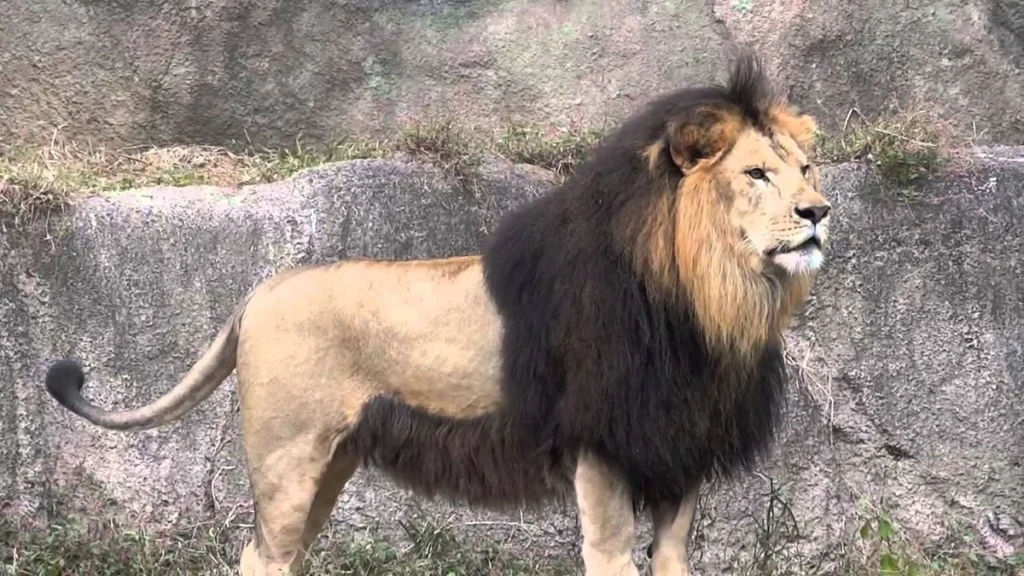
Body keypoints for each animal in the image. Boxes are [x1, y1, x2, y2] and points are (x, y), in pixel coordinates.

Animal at [44, 50, 832, 576]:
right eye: (756, 173)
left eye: (805, 170)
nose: (820, 212)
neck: (710, 299)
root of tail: (257, 292)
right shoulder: (602, 451)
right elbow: (611, 559)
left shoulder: (679, 454)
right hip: (286, 456)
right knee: (261, 557)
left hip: (330, 461)